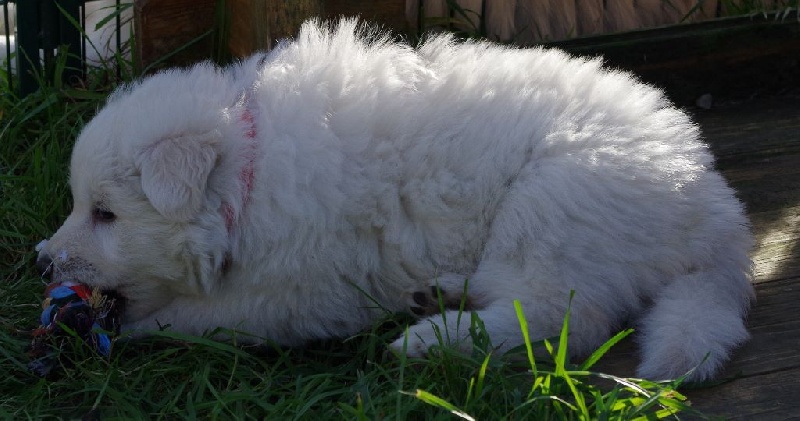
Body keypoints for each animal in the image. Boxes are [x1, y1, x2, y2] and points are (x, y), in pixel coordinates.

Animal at [36, 18, 754, 382]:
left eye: (106, 214)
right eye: (78, 205)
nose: (43, 260)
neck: (250, 170)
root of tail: (717, 207)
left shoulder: (298, 289)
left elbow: (203, 317)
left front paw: (112, 328)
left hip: (555, 203)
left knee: (561, 318)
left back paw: (434, 338)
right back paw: (438, 294)